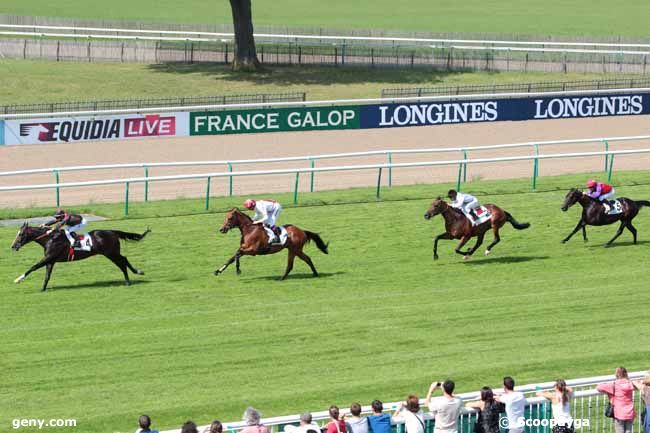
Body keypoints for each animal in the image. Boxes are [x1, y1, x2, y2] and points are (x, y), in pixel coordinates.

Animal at [11, 223, 149, 290]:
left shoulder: (49, 258)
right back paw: (136, 273)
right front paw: (43, 289)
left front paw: (18, 279)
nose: (13, 246)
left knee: (122, 262)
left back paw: (129, 280)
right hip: (112, 253)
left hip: (111, 253)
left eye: (21, 234)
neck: (50, 238)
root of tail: (112, 231)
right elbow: (47, 276)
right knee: (124, 260)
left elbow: (33, 267)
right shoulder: (51, 260)